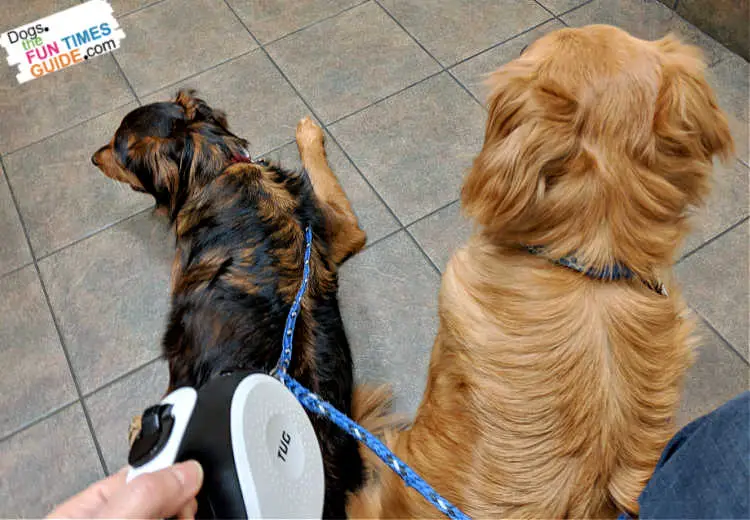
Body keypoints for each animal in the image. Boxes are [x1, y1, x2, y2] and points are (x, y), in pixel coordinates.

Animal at [92, 91, 370, 516]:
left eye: (117, 149)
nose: (92, 157)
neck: (215, 165)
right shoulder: (343, 231)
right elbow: (324, 178)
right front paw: (309, 134)